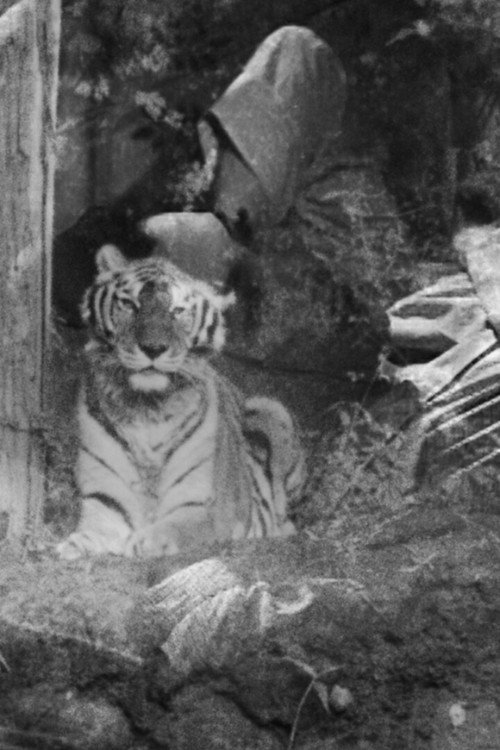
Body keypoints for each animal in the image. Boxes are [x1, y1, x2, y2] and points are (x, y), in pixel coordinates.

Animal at [57, 243, 306, 559]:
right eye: (129, 304)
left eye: (177, 311)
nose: (153, 348)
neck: (147, 406)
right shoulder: (105, 499)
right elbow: (94, 530)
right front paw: (74, 545)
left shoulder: (206, 507)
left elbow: (174, 528)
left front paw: (145, 541)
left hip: (271, 409)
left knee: (287, 515)